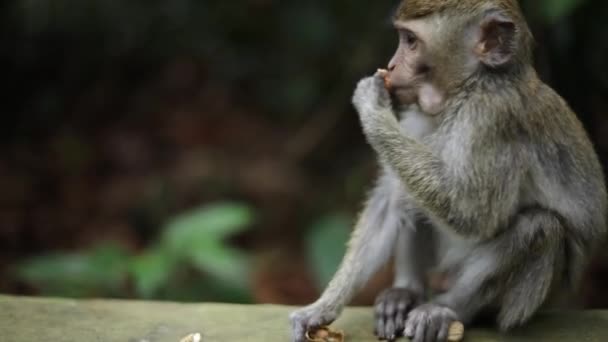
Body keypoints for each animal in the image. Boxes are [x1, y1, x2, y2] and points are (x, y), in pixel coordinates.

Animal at [290, 0, 608, 342]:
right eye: (402, 38)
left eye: (411, 41)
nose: (391, 66)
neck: (465, 92)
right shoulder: (418, 116)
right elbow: (390, 203)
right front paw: (321, 308)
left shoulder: (492, 118)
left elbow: (472, 213)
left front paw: (372, 106)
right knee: (409, 196)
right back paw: (406, 292)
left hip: (527, 302)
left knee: (540, 227)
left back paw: (448, 308)